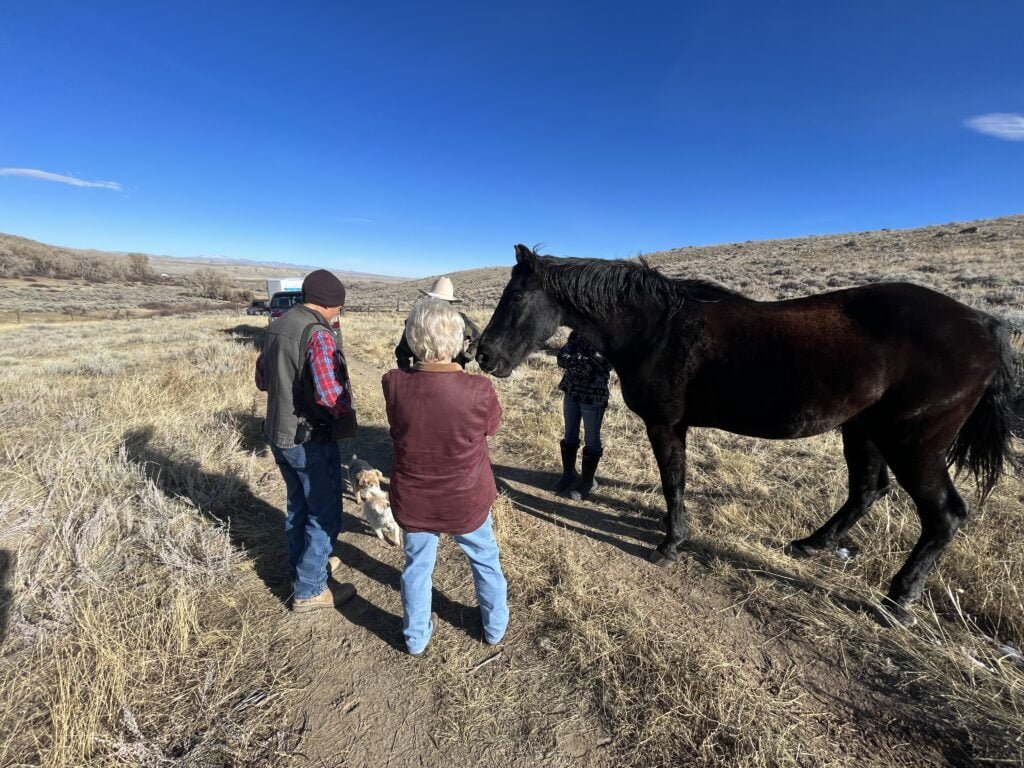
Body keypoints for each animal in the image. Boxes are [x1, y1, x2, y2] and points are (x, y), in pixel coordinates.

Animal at [477, 246, 1015, 626]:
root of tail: (985, 324)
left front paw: (670, 544)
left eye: (516, 296)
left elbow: (673, 483)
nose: (484, 356)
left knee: (943, 515)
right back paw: (812, 545)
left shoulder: (666, 424)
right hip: (863, 430)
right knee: (868, 490)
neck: (657, 328)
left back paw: (897, 600)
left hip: (913, 444)